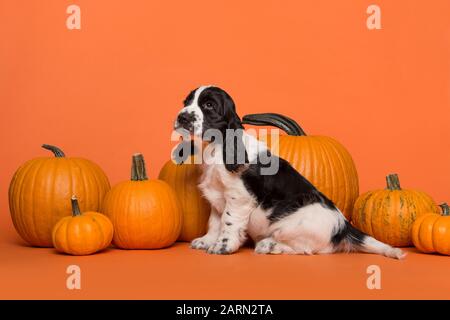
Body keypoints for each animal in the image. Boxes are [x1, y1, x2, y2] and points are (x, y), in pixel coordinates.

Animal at [174, 85, 406, 260]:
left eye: (208, 105)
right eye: (186, 102)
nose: (182, 117)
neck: (216, 148)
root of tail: (343, 228)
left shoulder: (238, 197)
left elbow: (228, 221)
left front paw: (222, 247)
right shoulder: (216, 195)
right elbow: (214, 221)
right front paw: (206, 241)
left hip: (291, 225)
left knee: (306, 248)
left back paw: (268, 245)